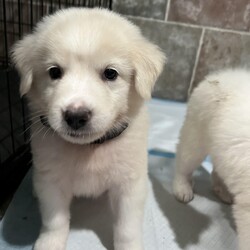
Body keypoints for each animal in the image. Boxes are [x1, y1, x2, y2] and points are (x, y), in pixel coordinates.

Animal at [11, 8, 165, 250]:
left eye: (110, 73)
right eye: (54, 72)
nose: (75, 116)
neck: (89, 149)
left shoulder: (128, 186)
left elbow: (127, 228)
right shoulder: (51, 181)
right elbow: (54, 220)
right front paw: (49, 243)